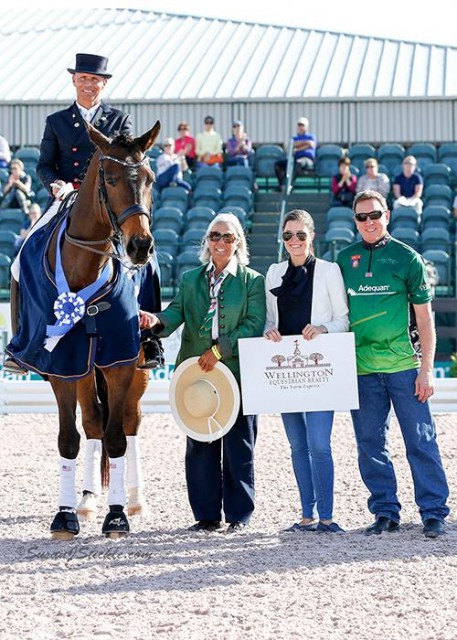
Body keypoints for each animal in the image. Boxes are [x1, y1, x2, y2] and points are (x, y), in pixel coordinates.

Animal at [6, 121, 161, 540]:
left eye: (150, 179)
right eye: (109, 179)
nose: (140, 246)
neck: (84, 270)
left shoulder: (120, 361)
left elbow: (117, 436)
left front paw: (118, 515)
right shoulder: (63, 364)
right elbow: (70, 438)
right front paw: (65, 517)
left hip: (135, 367)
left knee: (130, 422)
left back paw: (135, 499)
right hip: (84, 370)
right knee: (92, 422)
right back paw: (88, 499)